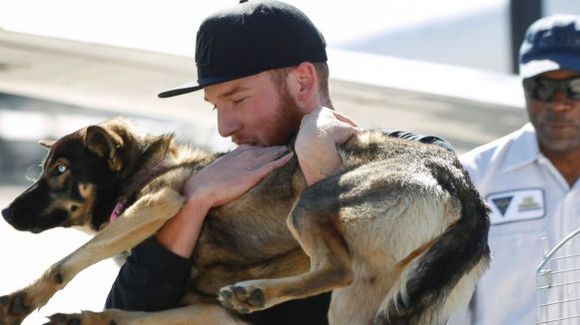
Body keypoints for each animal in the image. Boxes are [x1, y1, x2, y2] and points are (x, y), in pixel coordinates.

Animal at [0, 117, 490, 322]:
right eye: (47, 168)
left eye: (60, 171)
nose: (5, 210)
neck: (147, 171)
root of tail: (465, 191)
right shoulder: (210, 312)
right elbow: (130, 315)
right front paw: (85, 319)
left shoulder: (160, 203)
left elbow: (67, 262)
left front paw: (20, 300)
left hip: (310, 207)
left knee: (337, 268)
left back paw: (256, 292)